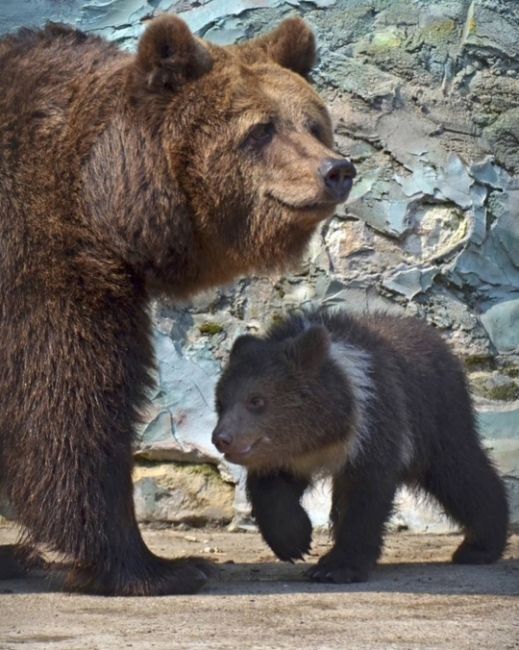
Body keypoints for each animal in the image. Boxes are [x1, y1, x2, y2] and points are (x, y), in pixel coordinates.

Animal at [0, 16, 356, 592]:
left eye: (314, 124)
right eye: (261, 129)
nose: (337, 170)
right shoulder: (42, 262)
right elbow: (69, 406)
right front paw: (160, 566)